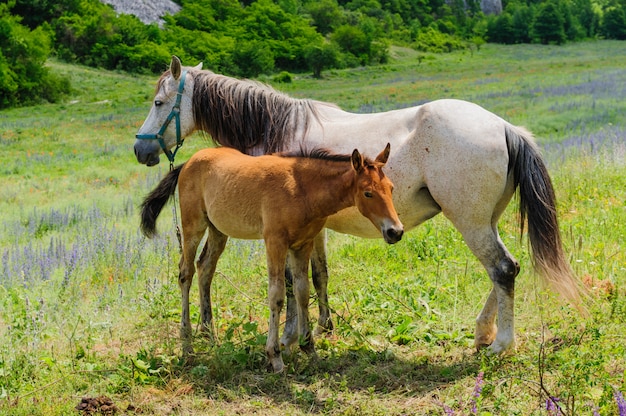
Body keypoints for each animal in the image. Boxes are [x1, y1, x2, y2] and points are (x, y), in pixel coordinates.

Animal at [133, 55, 580, 358]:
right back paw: (483, 333)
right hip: (486, 220)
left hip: (470, 221)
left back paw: (500, 344)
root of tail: (506, 127)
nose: (141, 150)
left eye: (159, 102)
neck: (276, 126)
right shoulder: (311, 229)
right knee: (504, 269)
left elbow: (293, 283)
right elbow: (316, 277)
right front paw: (322, 328)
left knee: (502, 269)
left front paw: (292, 337)